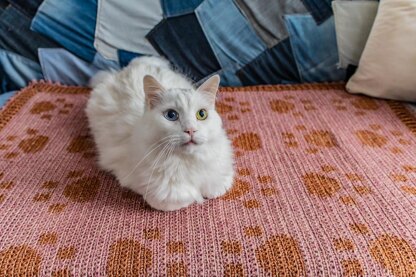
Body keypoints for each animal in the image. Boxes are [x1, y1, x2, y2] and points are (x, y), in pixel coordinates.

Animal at [85, 57, 234, 210]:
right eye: (171, 115)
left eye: (201, 114)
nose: (191, 130)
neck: (187, 161)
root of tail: (132, 66)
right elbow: (185, 197)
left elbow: (215, 188)